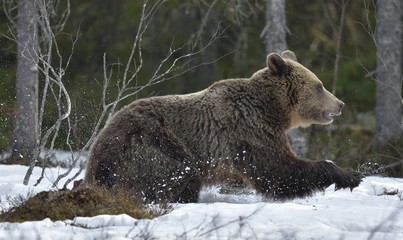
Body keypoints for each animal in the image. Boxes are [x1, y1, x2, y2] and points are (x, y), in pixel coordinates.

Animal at [85, 50, 362, 202]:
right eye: (320, 86)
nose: (340, 104)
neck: (272, 110)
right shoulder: (248, 129)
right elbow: (277, 170)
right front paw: (350, 175)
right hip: (150, 144)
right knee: (179, 171)